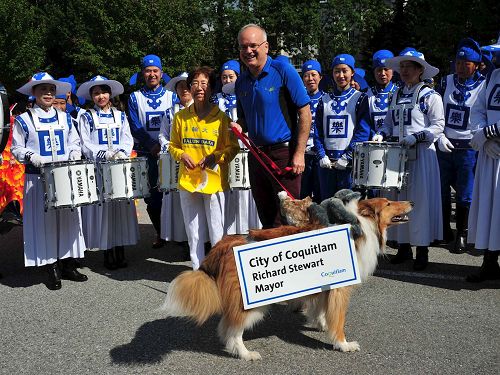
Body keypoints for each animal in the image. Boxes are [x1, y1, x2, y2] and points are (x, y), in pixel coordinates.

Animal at [162, 198, 412, 360]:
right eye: (389, 203)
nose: (411, 203)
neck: (362, 226)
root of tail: (224, 244)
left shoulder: (325, 284)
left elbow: (321, 309)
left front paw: (322, 324)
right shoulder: (341, 288)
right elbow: (338, 319)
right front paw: (342, 344)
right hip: (251, 302)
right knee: (232, 328)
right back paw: (245, 354)